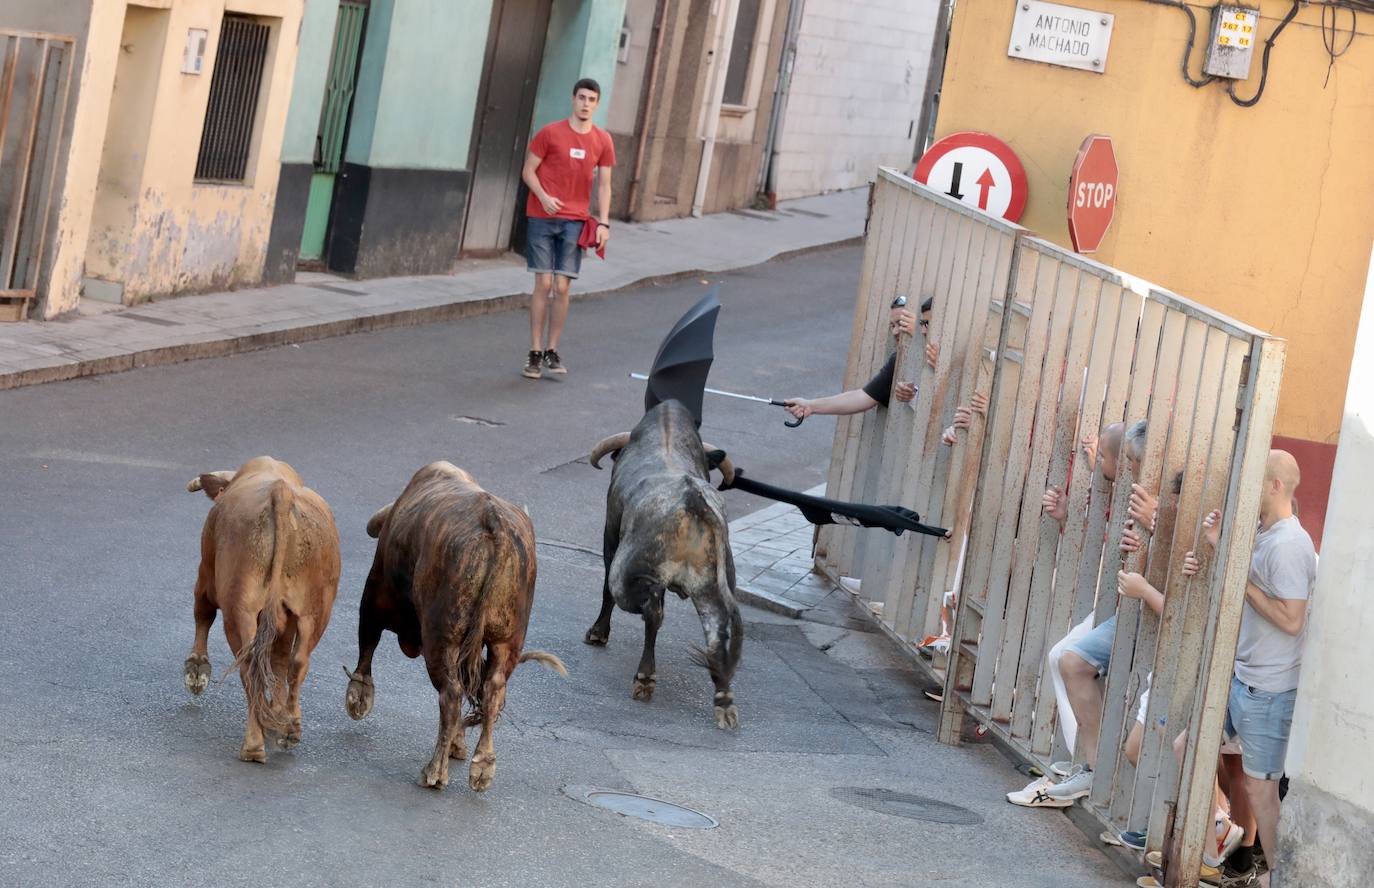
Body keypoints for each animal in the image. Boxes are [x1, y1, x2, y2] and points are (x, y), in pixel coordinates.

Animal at [182, 459, 340, 764]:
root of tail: (281, 491)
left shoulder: (206, 574)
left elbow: (202, 613)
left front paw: (196, 669)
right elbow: (278, 661)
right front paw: (277, 716)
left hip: (238, 609)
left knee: (249, 666)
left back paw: (254, 745)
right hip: (314, 612)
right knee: (296, 662)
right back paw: (289, 728)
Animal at [346, 467, 566, 791]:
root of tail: (494, 523)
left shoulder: (376, 595)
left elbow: (367, 642)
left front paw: (359, 697)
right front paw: (459, 745)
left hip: (442, 636)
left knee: (450, 694)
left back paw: (435, 772)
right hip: (506, 639)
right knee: (491, 691)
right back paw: (482, 766)